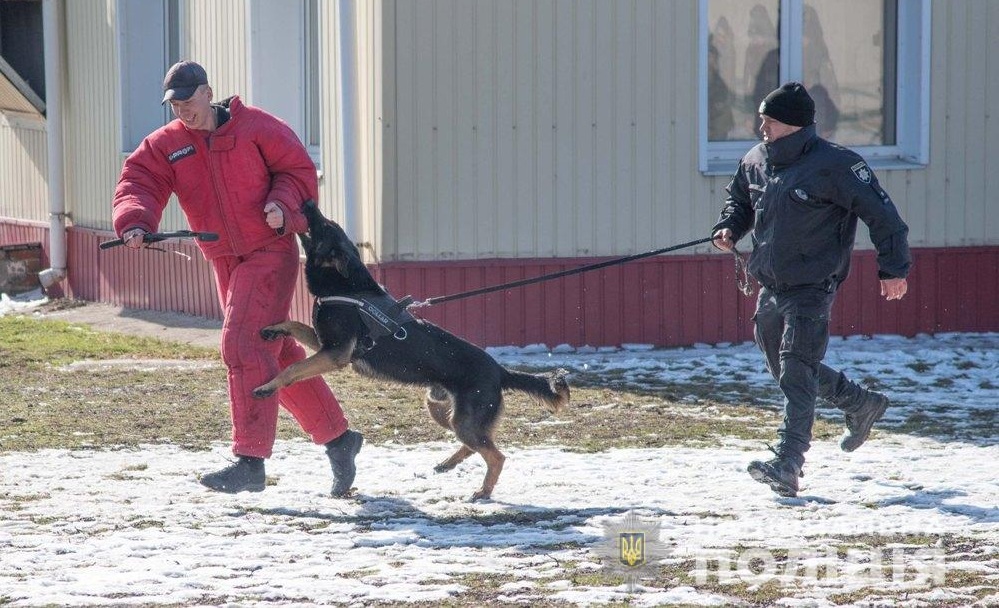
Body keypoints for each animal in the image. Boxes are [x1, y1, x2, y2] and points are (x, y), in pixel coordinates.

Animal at [252, 202, 572, 502]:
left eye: (323, 225)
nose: (308, 202)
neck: (346, 285)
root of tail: (501, 371)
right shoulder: (326, 346)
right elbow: (294, 324)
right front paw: (274, 329)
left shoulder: (335, 354)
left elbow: (292, 368)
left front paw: (268, 387)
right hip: (443, 411)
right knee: (478, 444)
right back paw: (448, 464)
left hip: (464, 421)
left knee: (496, 455)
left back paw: (483, 491)